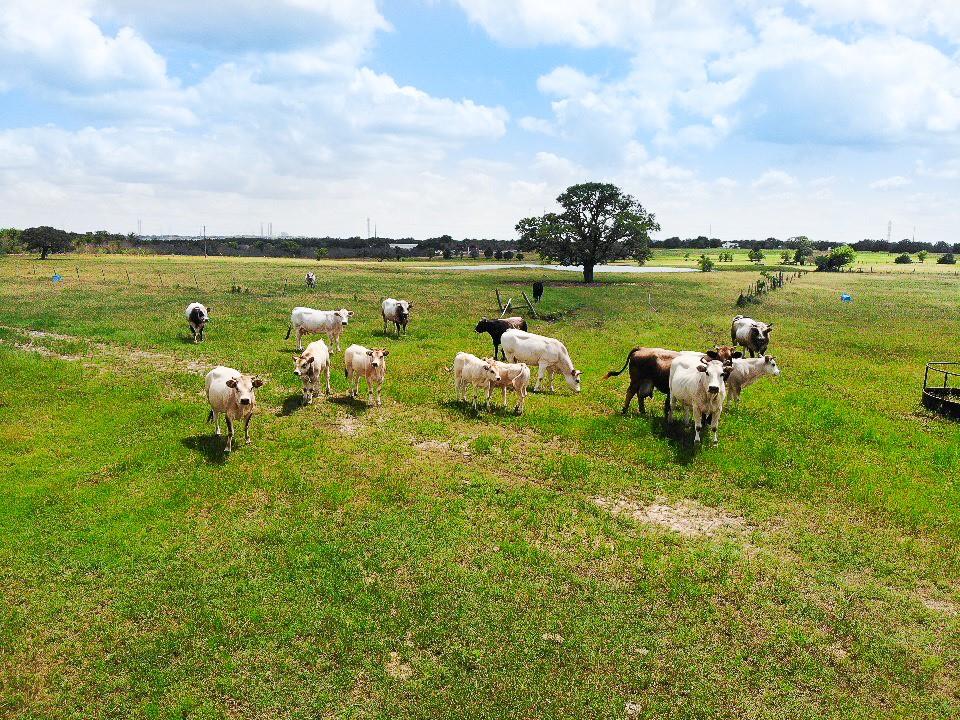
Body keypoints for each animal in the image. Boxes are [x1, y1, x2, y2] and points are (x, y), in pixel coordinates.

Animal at [604, 344, 740, 414]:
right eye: (718, 355)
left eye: (730, 356)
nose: (726, 365)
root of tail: (641, 348)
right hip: (636, 380)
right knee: (630, 392)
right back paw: (624, 410)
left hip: (645, 381)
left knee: (640, 395)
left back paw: (643, 411)